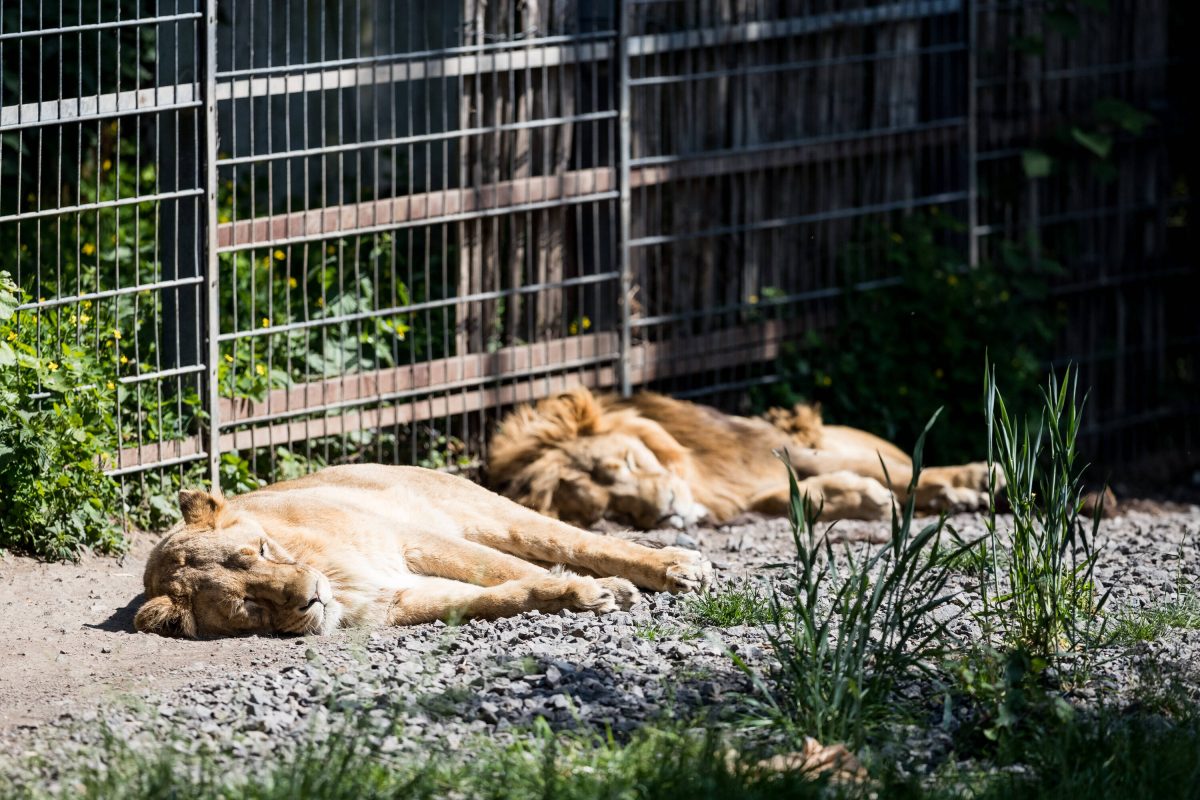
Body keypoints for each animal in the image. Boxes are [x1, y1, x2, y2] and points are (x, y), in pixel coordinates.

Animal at [133, 462, 710, 638]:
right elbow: (495, 596)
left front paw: (600, 589)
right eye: (248, 605)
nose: (312, 595)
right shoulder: (396, 599)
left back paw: (680, 567)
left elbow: (499, 570)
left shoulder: (412, 540)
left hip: (494, 516)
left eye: (259, 550)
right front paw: (575, 595)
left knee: (580, 541)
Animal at [484, 388, 993, 532]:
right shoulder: (742, 494)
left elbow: (901, 473)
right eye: (617, 512)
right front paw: (865, 498)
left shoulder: (781, 448)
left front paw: (978, 478)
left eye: (626, 462)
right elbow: (787, 498)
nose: (666, 512)